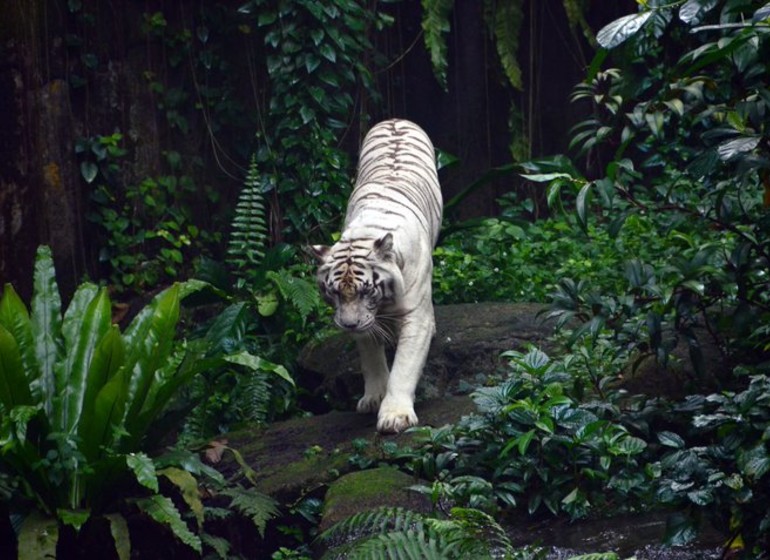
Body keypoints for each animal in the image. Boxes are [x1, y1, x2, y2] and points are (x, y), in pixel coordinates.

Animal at [308, 117, 440, 434]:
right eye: (334, 292)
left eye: (367, 290)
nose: (348, 324)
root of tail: (396, 119)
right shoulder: (362, 320)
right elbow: (370, 356)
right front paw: (374, 397)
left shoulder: (416, 315)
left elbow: (404, 367)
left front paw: (395, 417)